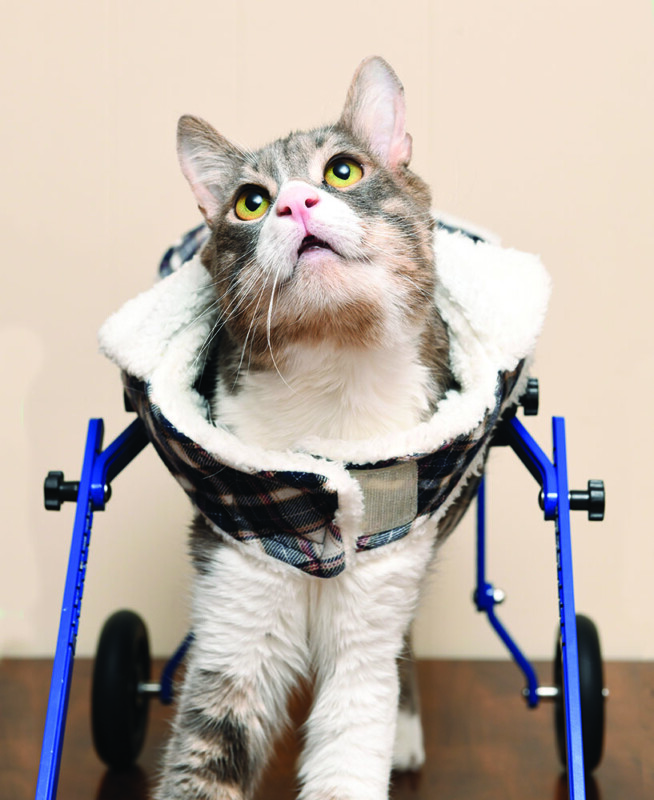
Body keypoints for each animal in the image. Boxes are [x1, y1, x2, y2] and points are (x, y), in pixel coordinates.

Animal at [156, 57, 456, 800]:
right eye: (250, 202)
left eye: (342, 171)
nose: (295, 203)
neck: (332, 378)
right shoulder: (237, 586)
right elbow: (208, 751)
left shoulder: (383, 577)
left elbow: (354, 735)